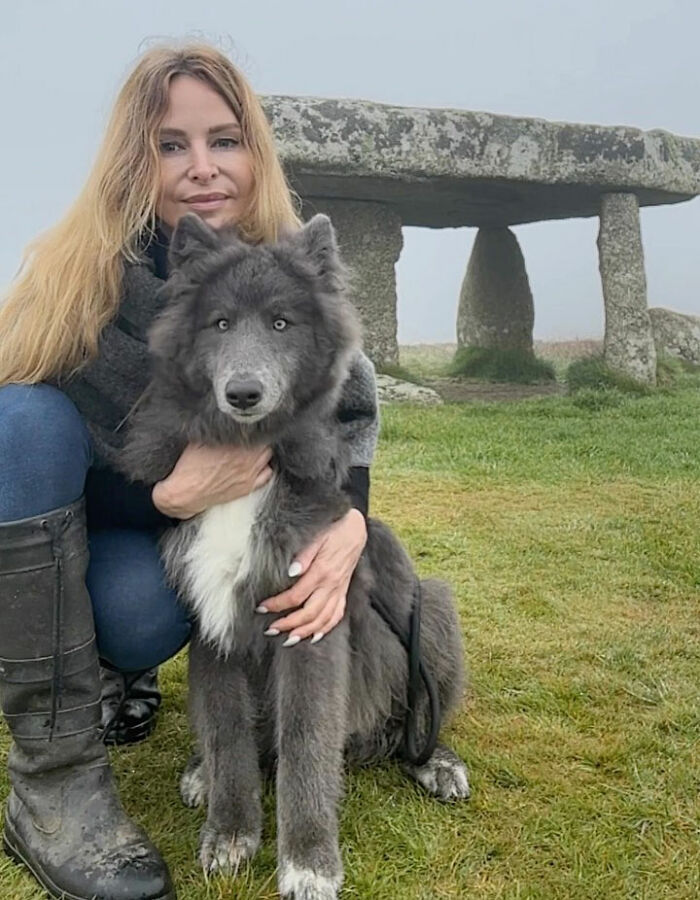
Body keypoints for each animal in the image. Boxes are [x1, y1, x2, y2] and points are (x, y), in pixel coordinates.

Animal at [119, 213, 469, 900]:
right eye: (220, 323)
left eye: (282, 323)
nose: (243, 393)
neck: (248, 466)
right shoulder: (214, 624)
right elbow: (228, 737)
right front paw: (230, 835)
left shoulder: (310, 625)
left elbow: (307, 742)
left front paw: (309, 863)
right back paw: (200, 773)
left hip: (429, 609)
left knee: (416, 721)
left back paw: (435, 763)